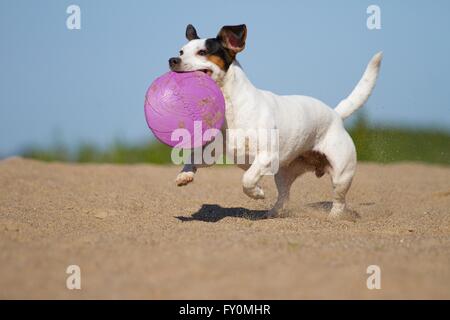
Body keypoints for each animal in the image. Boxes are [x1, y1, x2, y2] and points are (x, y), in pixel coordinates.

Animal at [170, 24, 384, 220]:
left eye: (202, 52)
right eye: (181, 51)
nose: (172, 60)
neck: (232, 107)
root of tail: (336, 114)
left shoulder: (266, 156)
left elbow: (247, 179)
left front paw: (257, 193)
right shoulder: (211, 153)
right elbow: (193, 158)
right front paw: (184, 175)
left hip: (342, 173)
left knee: (339, 199)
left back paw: (333, 217)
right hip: (283, 174)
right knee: (284, 196)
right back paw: (272, 213)